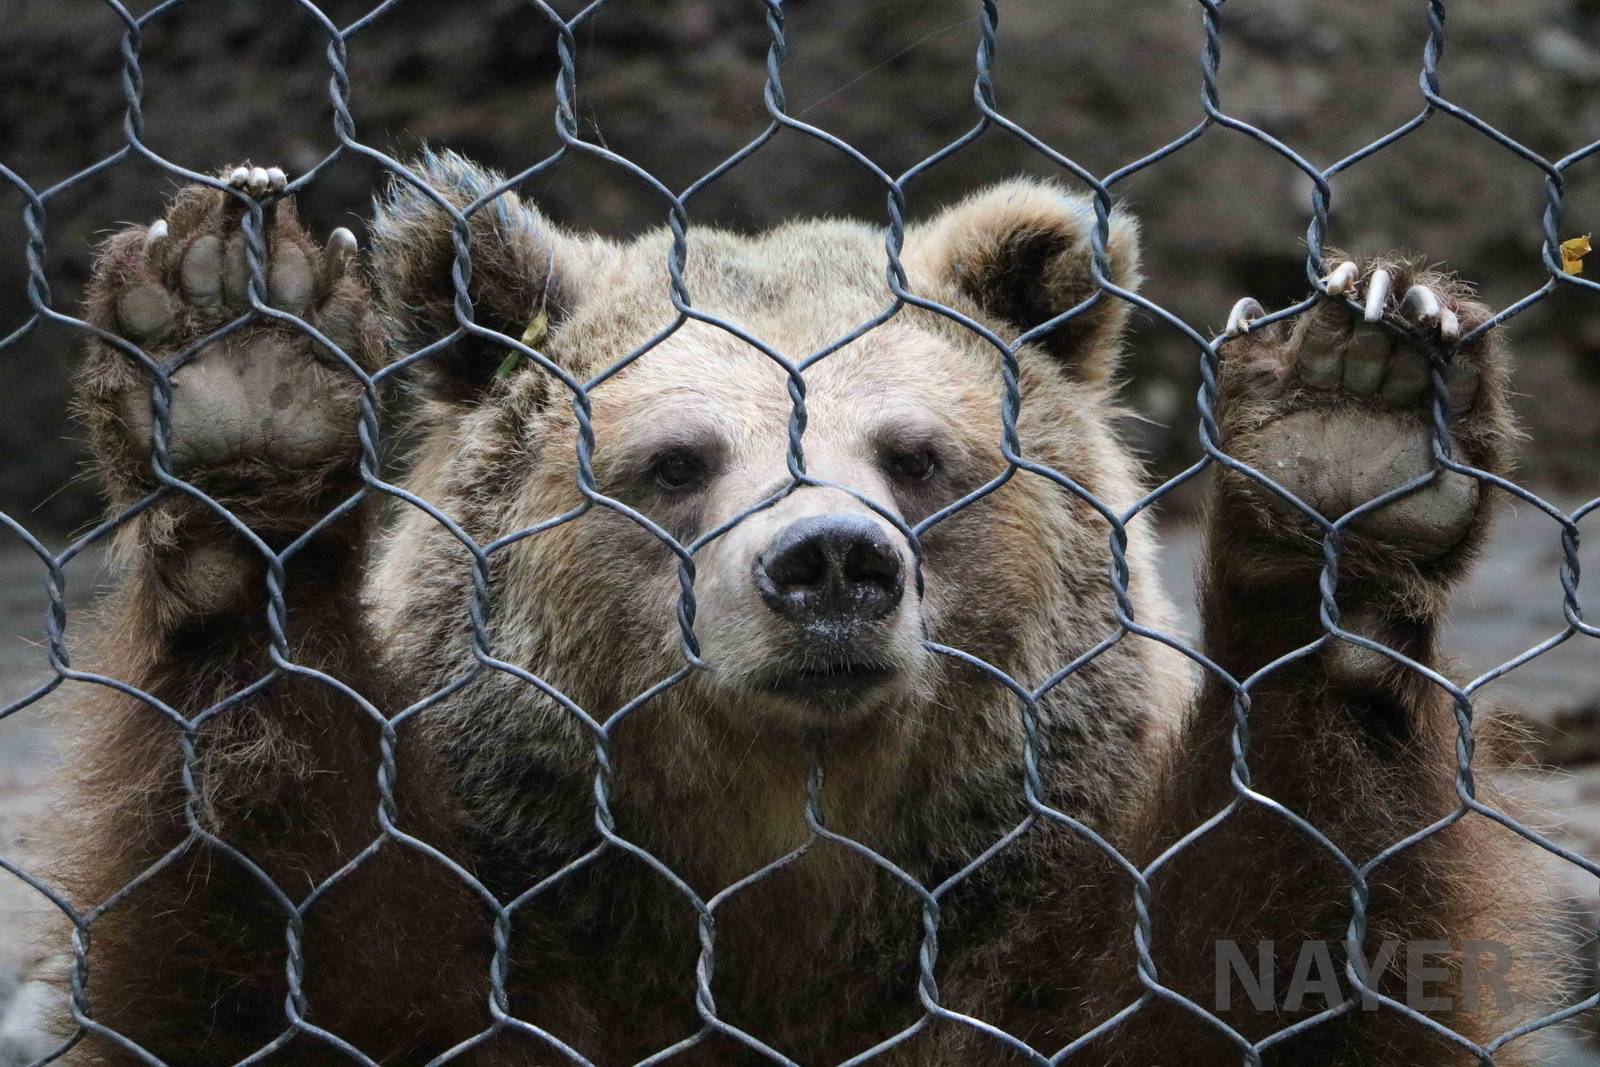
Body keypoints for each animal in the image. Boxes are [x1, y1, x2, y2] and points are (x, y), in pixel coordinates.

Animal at [44, 151, 1552, 1065]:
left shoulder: (1031, 950)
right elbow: (276, 950)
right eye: (676, 459)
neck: (783, 868)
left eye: (917, 453)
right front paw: (241, 375)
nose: (831, 563)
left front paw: (1344, 428)